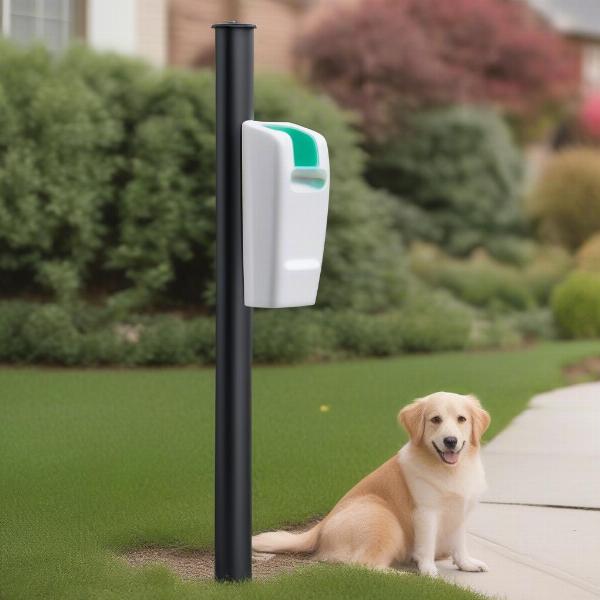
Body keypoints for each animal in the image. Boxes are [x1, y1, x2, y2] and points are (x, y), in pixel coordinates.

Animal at [253, 390, 492, 576]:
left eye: (462, 419)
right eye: (435, 420)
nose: (450, 441)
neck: (451, 470)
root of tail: (318, 528)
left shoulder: (460, 511)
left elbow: (460, 544)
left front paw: (466, 564)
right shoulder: (426, 512)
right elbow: (426, 545)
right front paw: (428, 571)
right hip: (382, 516)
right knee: (363, 565)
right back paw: (404, 576)